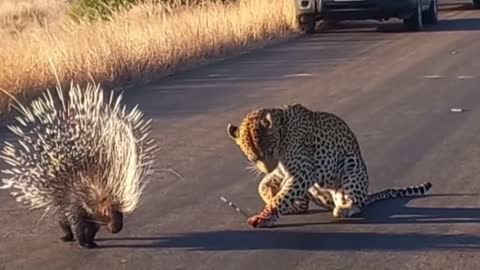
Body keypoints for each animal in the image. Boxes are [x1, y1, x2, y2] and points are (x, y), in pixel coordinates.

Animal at [227, 103, 434, 228]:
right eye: (253, 158)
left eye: (269, 151)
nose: (268, 167)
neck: (282, 135)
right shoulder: (284, 174)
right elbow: (263, 185)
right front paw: (269, 196)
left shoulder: (302, 173)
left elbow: (282, 196)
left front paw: (266, 215)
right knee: (303, 204)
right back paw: (296, 207)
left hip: (350, 162)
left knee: (356, 202)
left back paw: (345, 207)